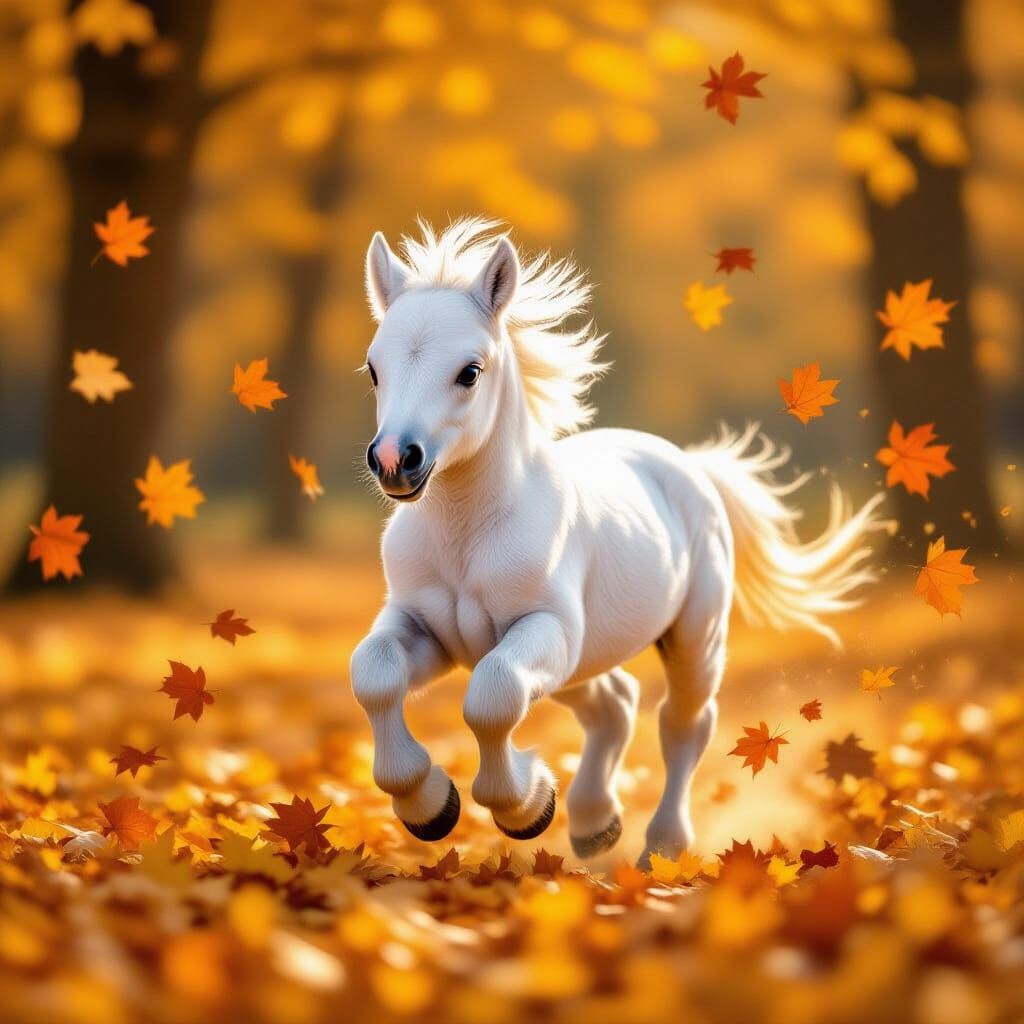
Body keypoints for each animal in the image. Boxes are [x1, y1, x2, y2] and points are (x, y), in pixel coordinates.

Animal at [349, 218, 884, 865]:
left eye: (470, 371)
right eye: (374, 368)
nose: (394, 460)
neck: (467, 538)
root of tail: (692, 466)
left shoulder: (544, 629)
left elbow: (491, 698)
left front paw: (523, 809)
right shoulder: (424, 629)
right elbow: (374, 675)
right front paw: (431, 808)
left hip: (692, 638)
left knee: (682, 722)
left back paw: (662, 847)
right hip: (581, 665)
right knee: (616, 703)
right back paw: (592, 824)